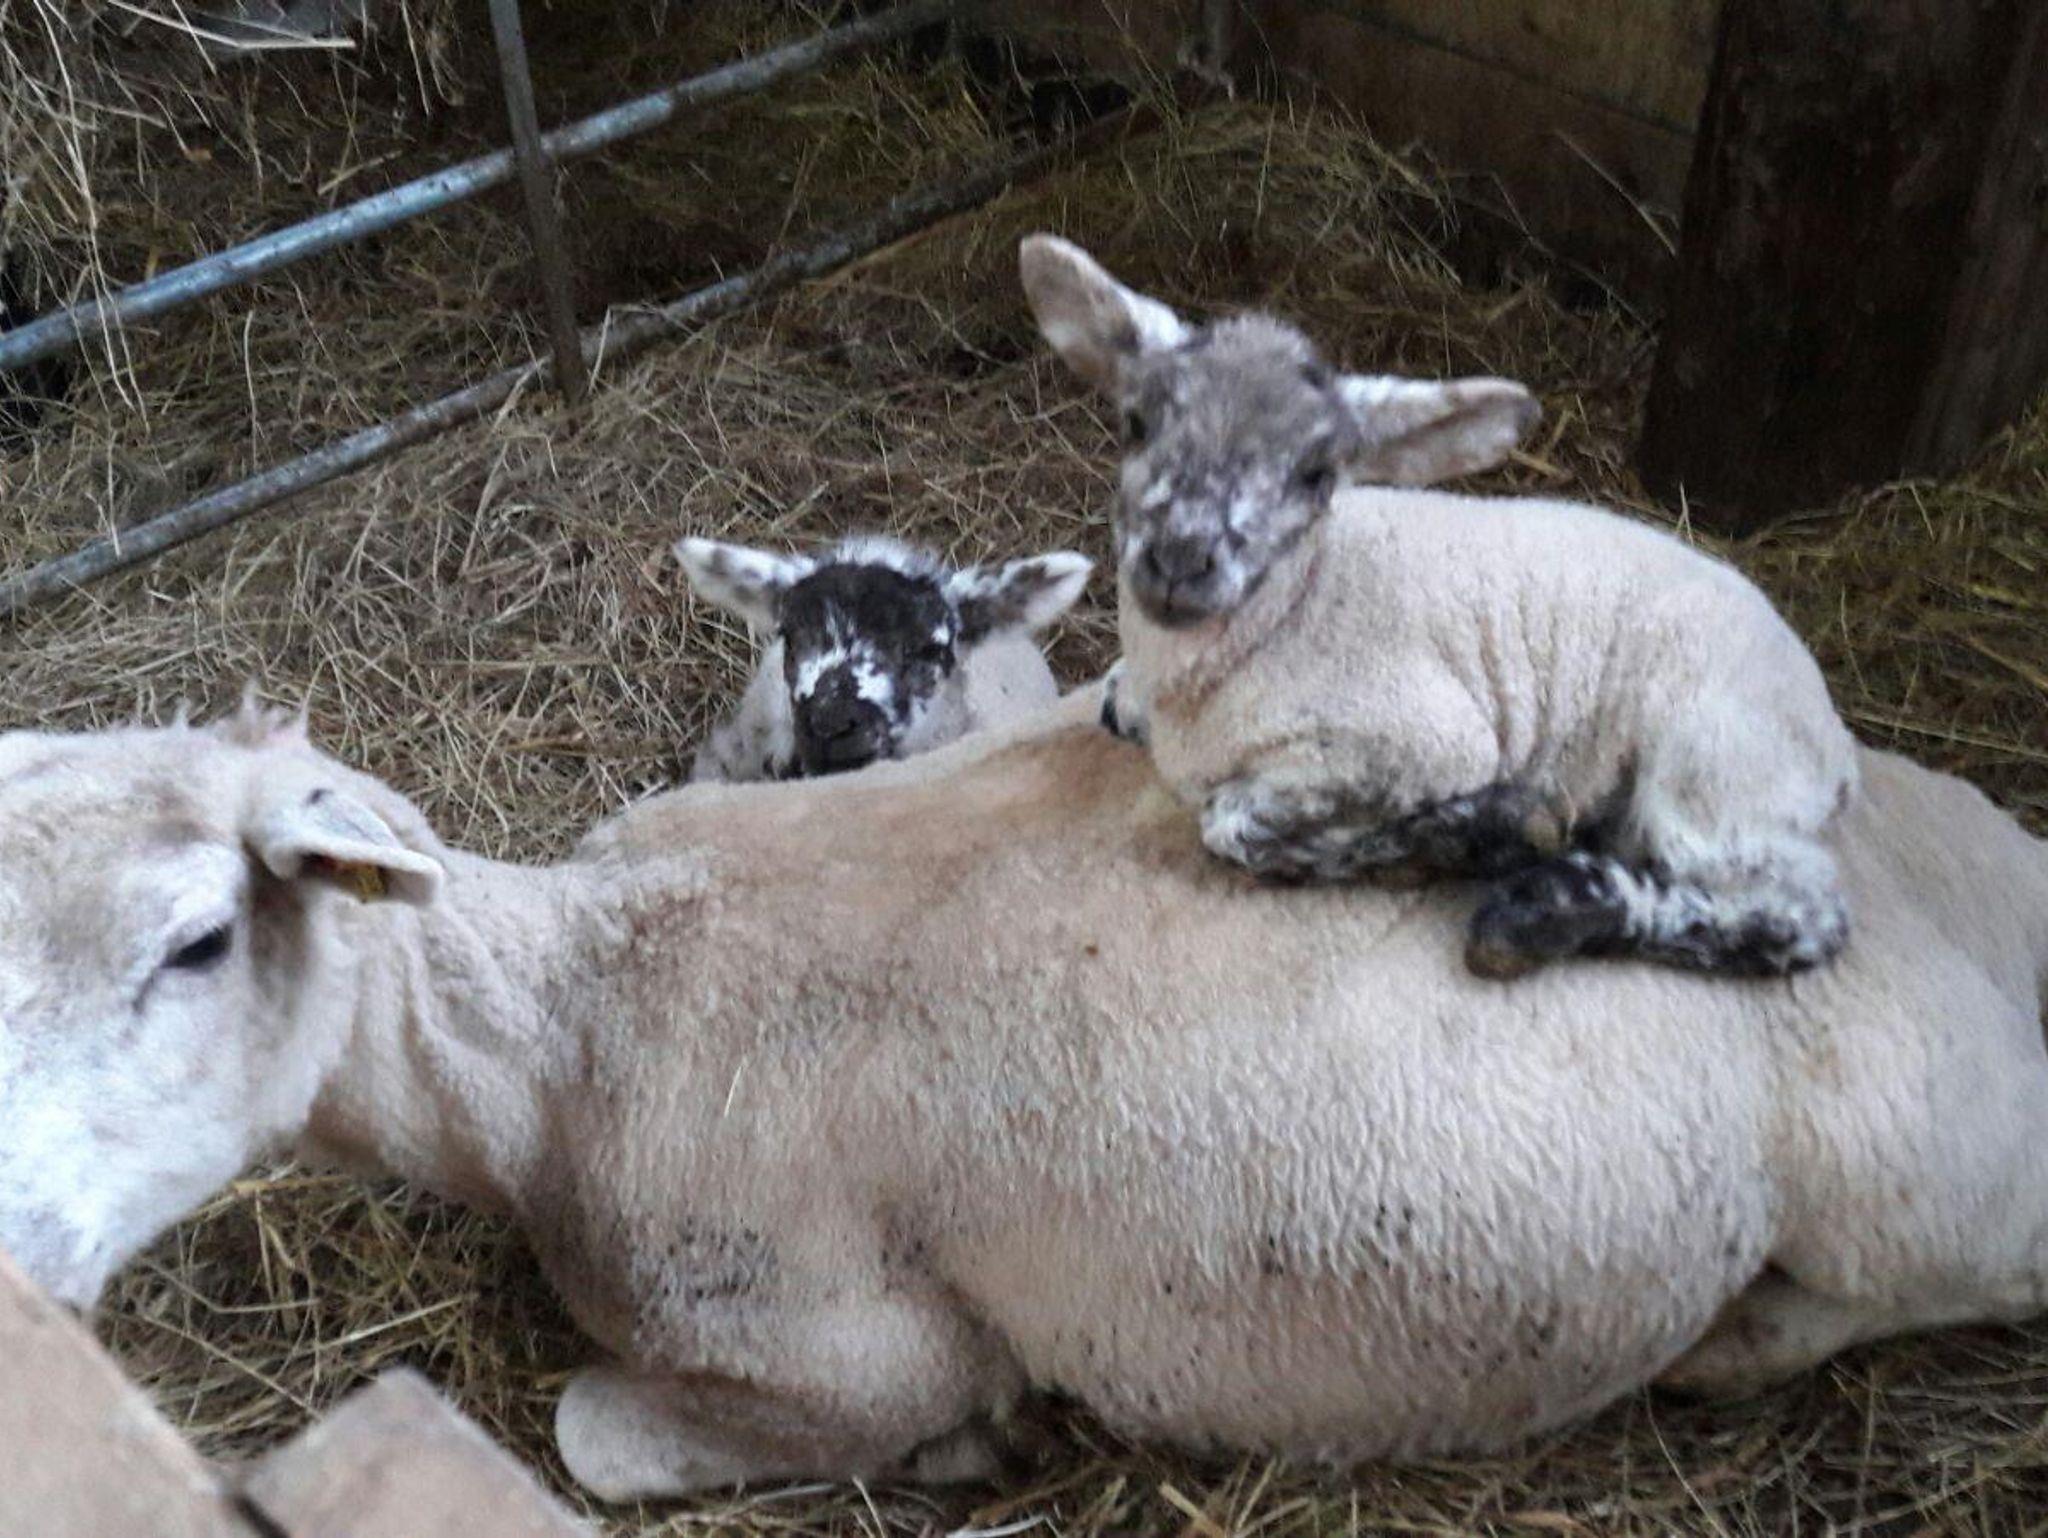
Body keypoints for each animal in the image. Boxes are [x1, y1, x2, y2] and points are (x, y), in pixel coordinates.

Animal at [2, 692, 2047, 1500]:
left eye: (200, 939)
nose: (20, 1265)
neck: (573, 1030)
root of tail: (1991, 866)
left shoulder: (831, 1341)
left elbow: (597, 1433)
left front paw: (967, 1449)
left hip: (1924, 1165)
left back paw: (1742, 1339)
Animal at [1019, 234, 1861, 980]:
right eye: (1136, 423)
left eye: (1317, 473)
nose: (1180, 561)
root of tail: (1837, 742)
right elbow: (1120, 712)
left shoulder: (1421, 740)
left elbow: (1233, 825)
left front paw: (1487, 832)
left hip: (1716, 760)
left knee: (1797, 907)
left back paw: (1544, 913)